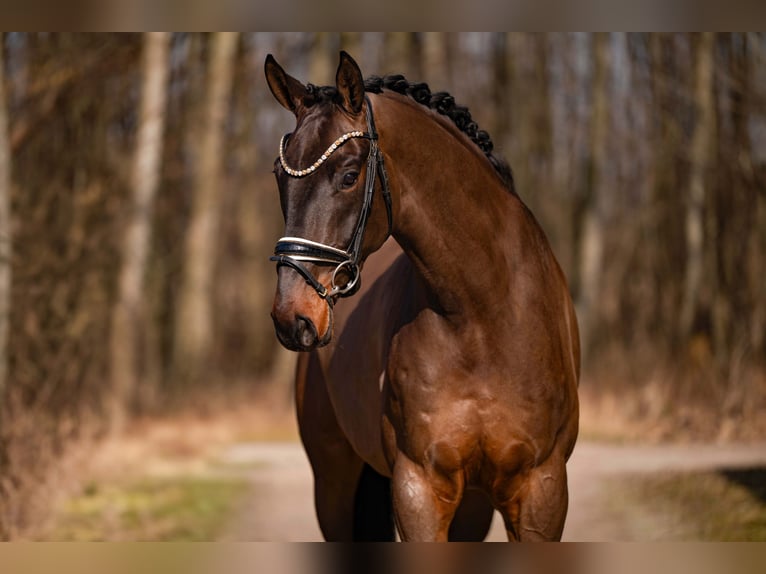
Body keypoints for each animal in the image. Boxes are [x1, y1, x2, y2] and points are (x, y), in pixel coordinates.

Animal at [265, 51, 579, 541]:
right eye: (281, 176)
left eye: (349, 176)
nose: (292, 316)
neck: (483, 315)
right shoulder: (419, 489)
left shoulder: (541, 490)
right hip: (333, 483)